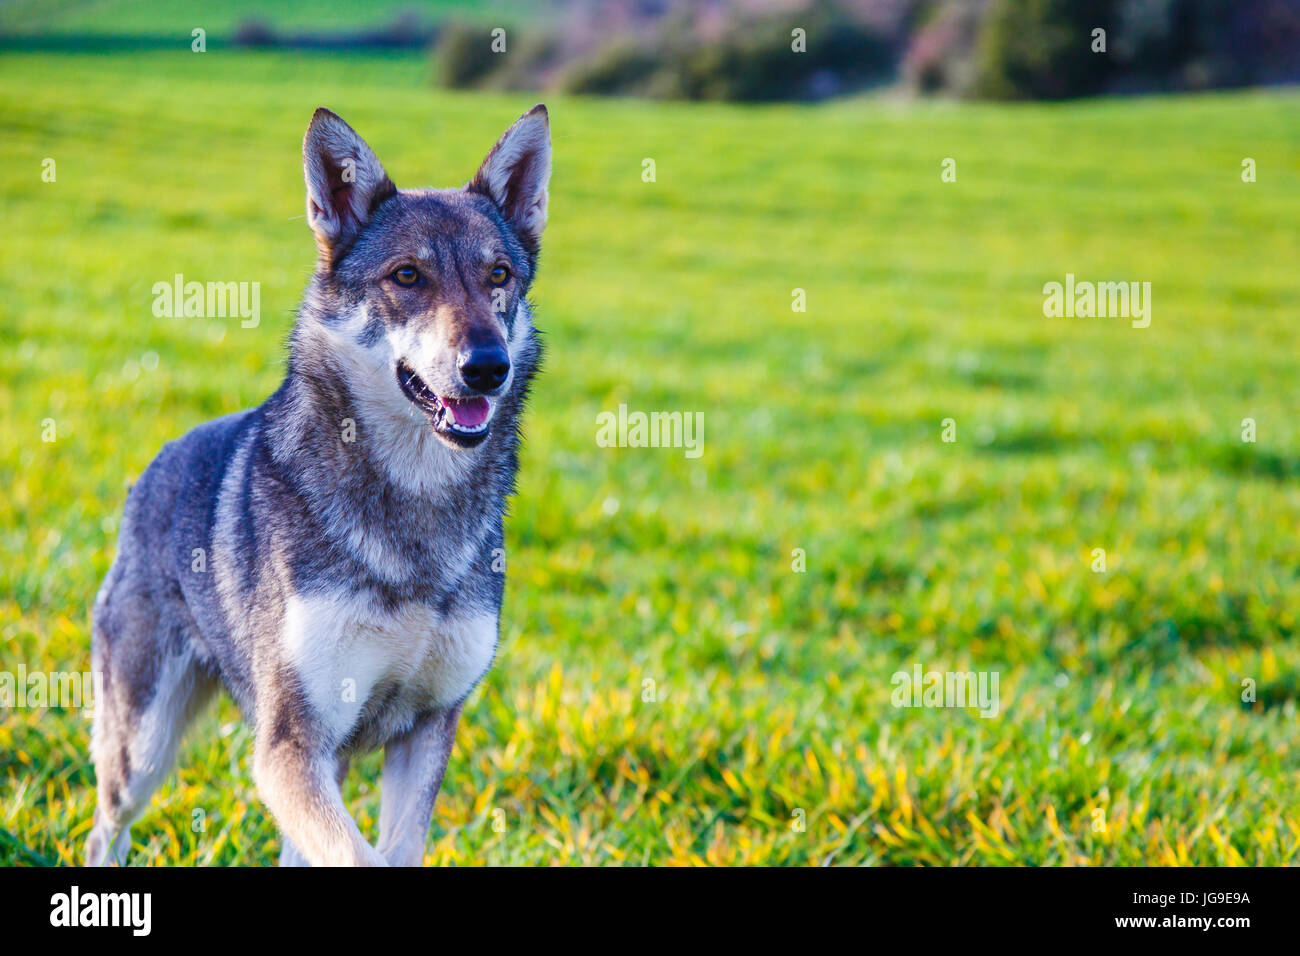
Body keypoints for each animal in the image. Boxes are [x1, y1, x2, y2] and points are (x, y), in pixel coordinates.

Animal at [84, 104, 550, 866]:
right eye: (408, 276)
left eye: (499, 275)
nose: (488, 366)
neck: (417, 505)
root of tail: (155, 462)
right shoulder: (289, 748)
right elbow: (362, 857)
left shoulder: (426, 730)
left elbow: (394, 851)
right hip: (142, 750)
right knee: (105, 828)